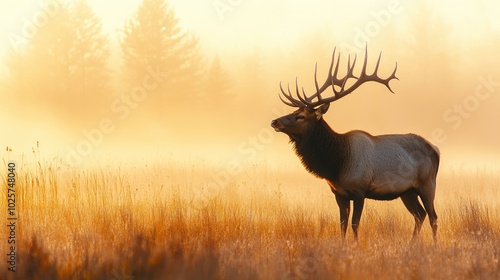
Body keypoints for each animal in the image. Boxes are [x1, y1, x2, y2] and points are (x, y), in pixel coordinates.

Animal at [272, 47, 440, 242]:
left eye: (301, 116)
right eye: (294, 111)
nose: (275, 121)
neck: (336, 165)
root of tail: (436, 149)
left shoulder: (360, 190)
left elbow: (355, 223)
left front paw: (356, 245)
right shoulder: (339, 193)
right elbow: (342, 224)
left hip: (428, 183)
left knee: (433, 217)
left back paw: (434, 244)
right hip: (407, 191)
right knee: (419, 214)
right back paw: (412, 244)